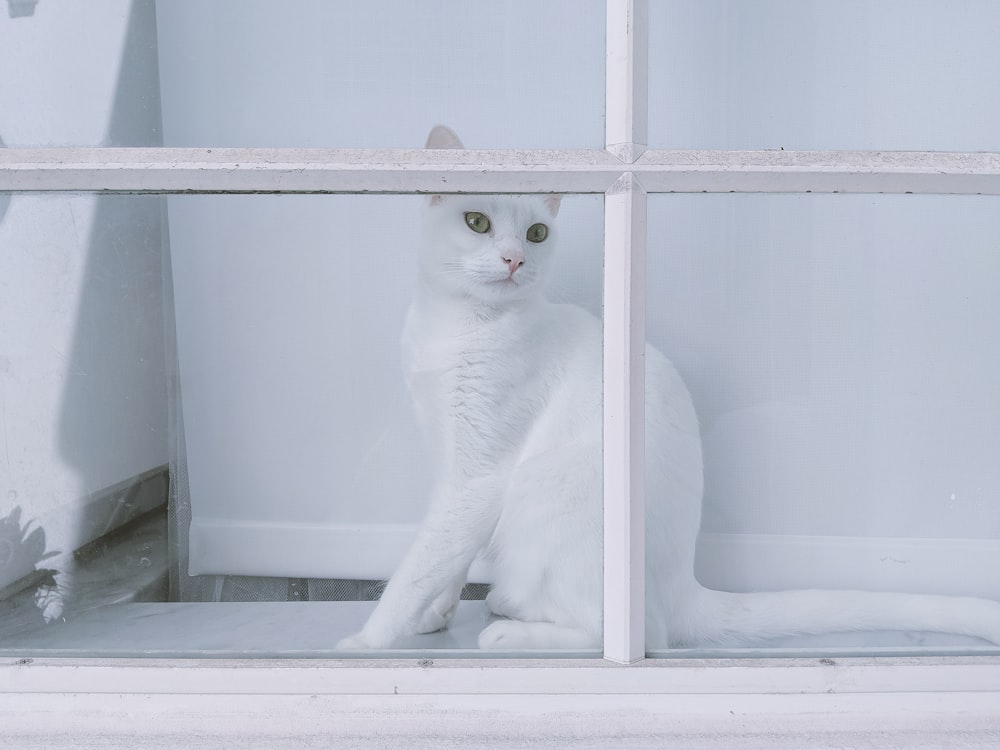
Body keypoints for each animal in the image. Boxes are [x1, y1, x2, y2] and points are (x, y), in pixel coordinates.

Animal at [336, 125, 1000, 652]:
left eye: (536, 233)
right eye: (477, 221)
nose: (513, 259)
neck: (456, 328)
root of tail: (684, 587)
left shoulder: (478, 478)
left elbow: (420, 565)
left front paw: (368, 641)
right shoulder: (450, 465)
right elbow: (445, 562)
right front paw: (436, 614)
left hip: (550, 504)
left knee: (625, 633)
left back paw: (512, 629)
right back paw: (506, 603)